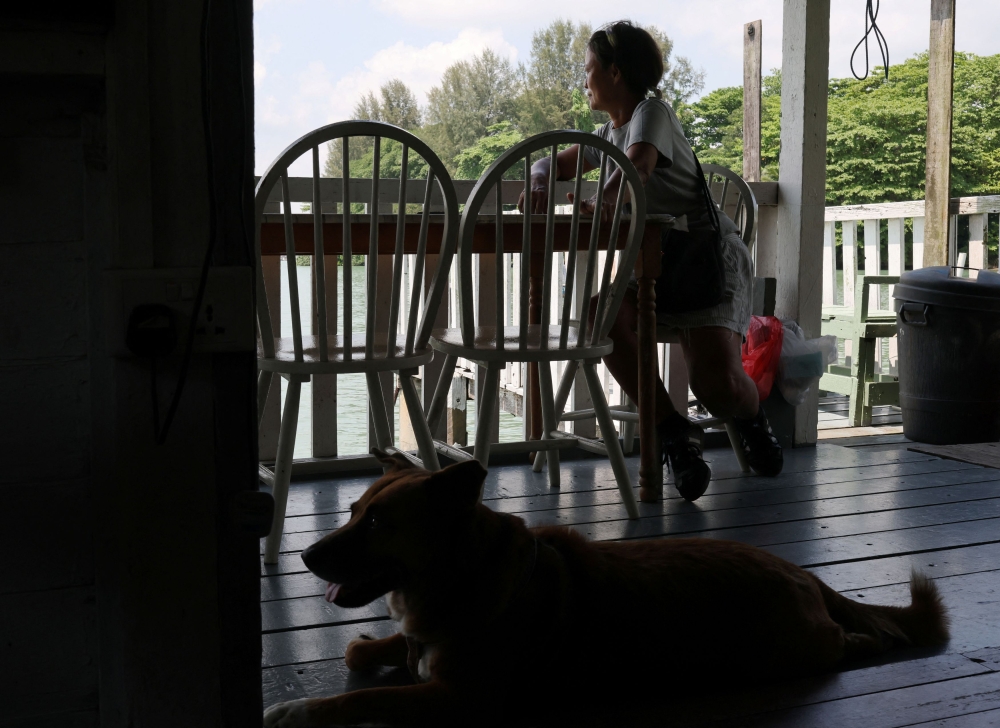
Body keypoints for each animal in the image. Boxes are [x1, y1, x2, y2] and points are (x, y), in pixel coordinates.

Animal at [262, 452, 948, 724]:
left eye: (380, 524)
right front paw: (378, 648)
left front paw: (297, 710)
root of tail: (804, 574)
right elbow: (364, 650)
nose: (304, 554)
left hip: (788, 646)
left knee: (846, 640)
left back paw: (858, 642)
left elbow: (364, 697)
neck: (466, 575)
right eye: (354, 511)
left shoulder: (462, 699)